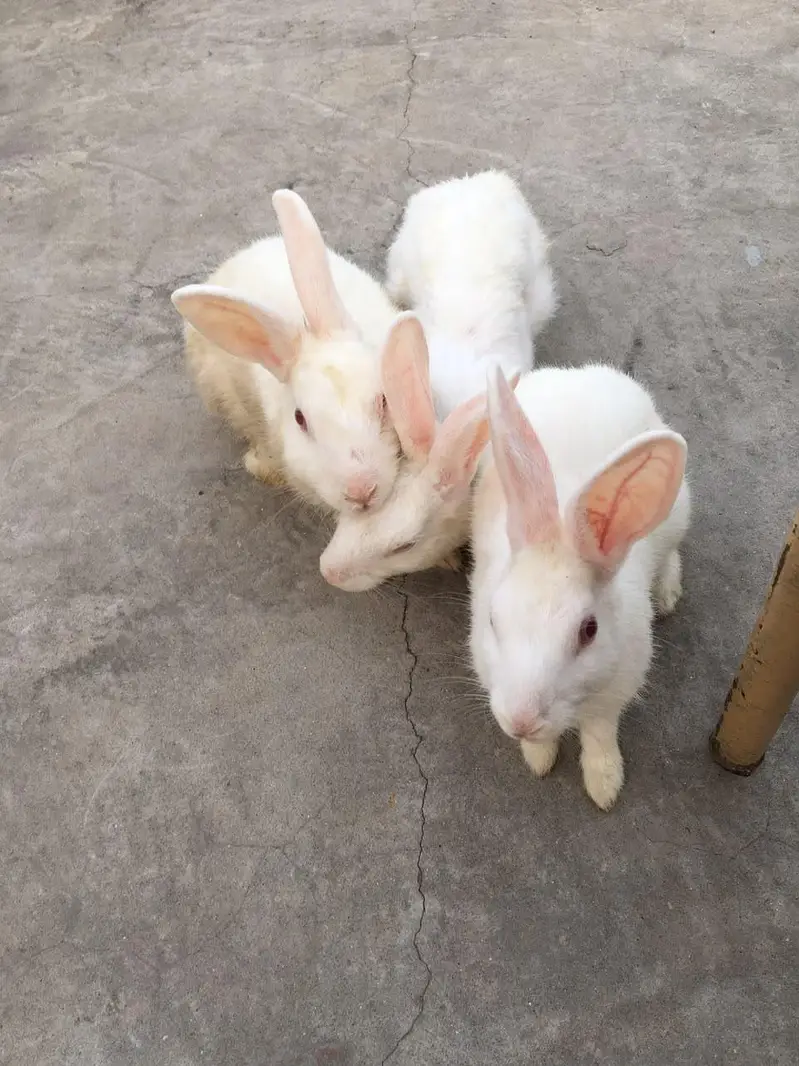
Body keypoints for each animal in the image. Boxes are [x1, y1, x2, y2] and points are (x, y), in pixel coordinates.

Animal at [469, 364, 690, 811]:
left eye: (589, 631)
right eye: (493, 620)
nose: (522, 720)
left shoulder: (615, 692)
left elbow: (600, 734)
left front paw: (604, 786)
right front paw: (538, 757)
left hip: (679, 511)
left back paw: (667, 594)